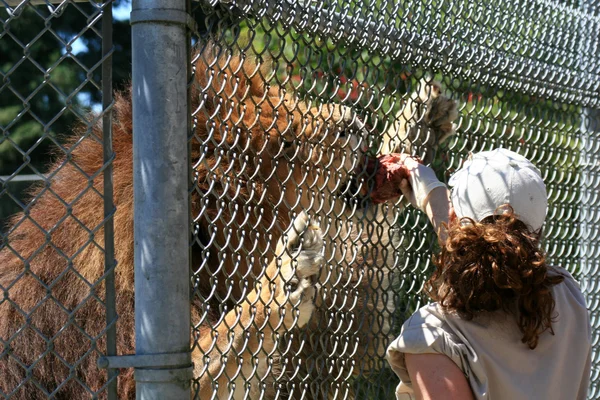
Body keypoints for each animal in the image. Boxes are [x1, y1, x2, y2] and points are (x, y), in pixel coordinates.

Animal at [0, 43, 454, 396]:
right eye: (286, 145)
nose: (354, 122)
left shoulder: (319, 354)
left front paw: (418, 121)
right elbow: (224, 343)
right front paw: (284, 273)